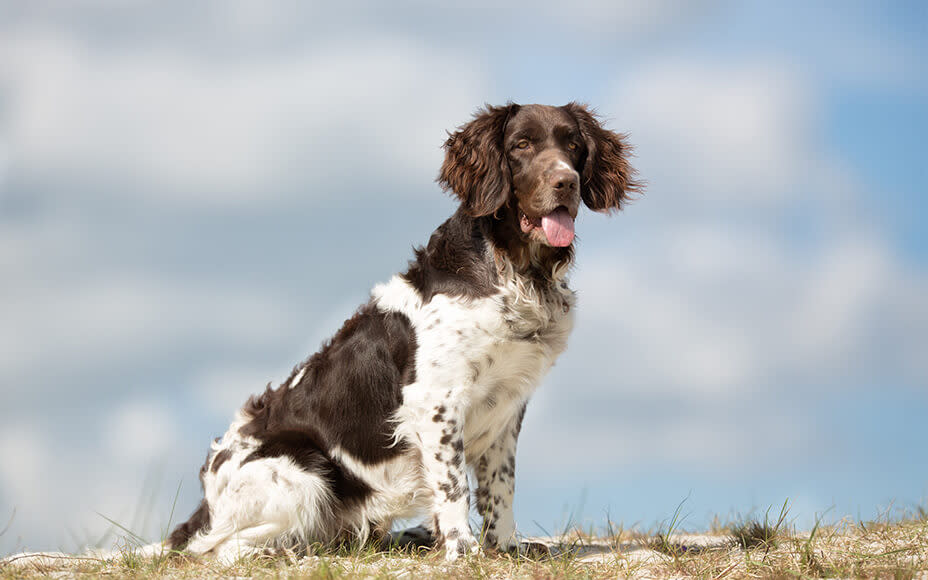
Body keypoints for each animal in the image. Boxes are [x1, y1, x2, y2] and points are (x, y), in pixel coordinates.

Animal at [161, 103, 640, 560]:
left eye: (573, 145)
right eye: (521, 145)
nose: (566, 183)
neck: (517, 272)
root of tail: (206, 502)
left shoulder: (508, 405)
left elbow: (500, 486)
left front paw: (505, 547)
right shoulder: (437, 400)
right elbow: (453, 485)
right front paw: (462, 550)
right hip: (302, 469)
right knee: (220, 548)